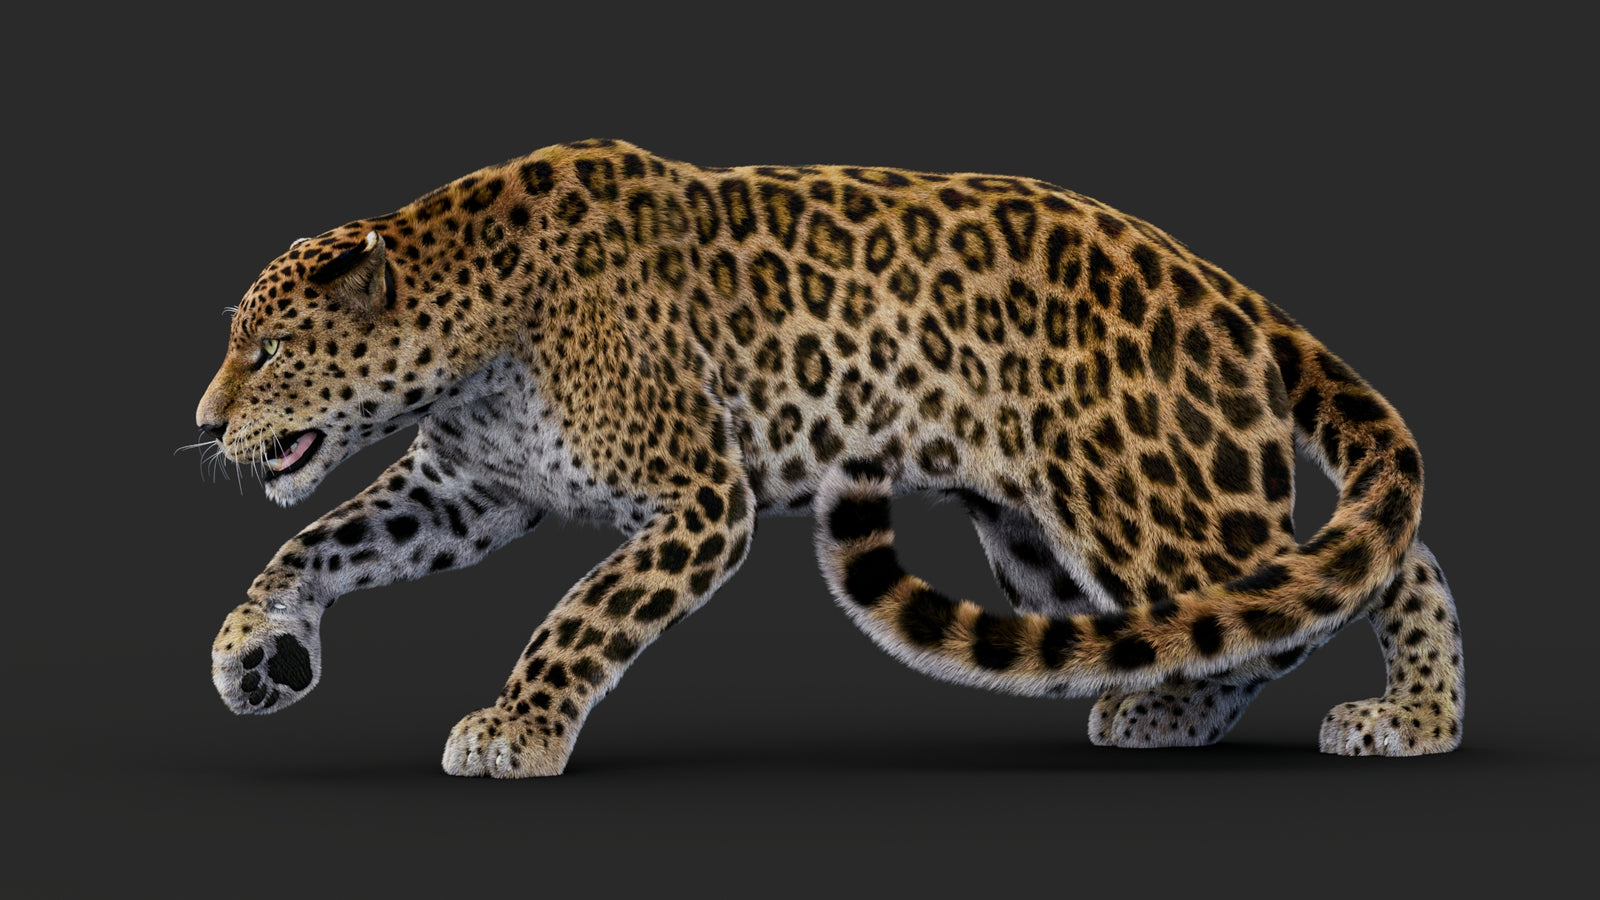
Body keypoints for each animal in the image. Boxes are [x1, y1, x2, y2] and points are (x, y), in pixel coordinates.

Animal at [195, 139, 1463, 777]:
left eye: (267, 351)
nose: (205, 423)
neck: (474, 329)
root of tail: (1216, 278)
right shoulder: (466, 492)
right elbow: (313, 544)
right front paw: (254, 653)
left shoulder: (697, 497)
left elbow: (580, 616)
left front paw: (516, 730)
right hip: (1036, 544)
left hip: (1151, 494)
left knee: (1332, 587)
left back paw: (1385, 720)